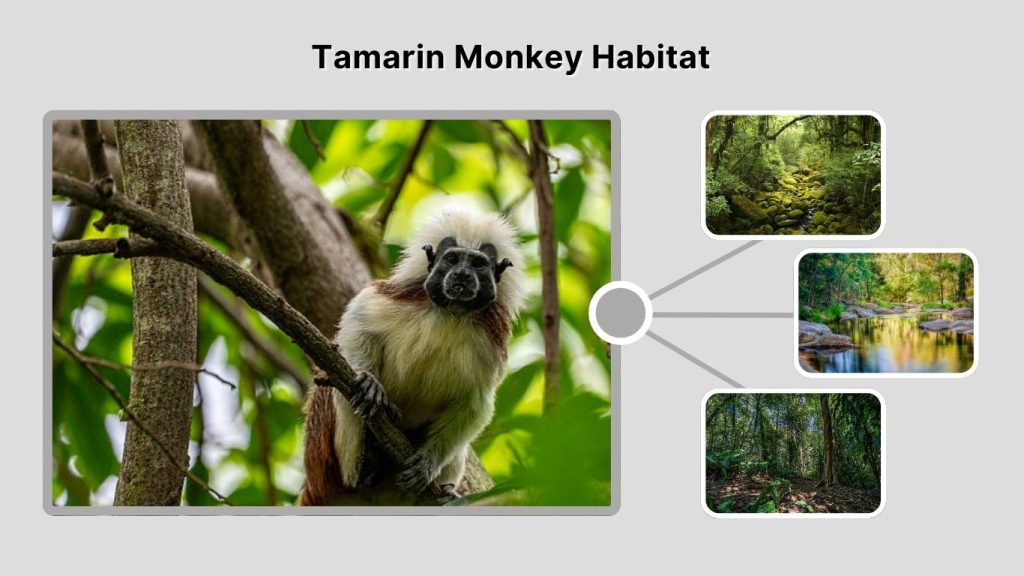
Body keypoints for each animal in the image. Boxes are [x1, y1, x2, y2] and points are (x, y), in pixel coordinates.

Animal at [299, 209, 525, 505]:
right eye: (452, 259)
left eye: (478, 264)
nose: (462, 275)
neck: (452, 313)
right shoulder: (401, 296)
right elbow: (358, 320)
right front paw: (369, 382)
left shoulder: (491, 344)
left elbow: (475, 404)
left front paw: (428, 463)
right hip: (324, 457)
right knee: (331, 389)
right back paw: (365, 458)